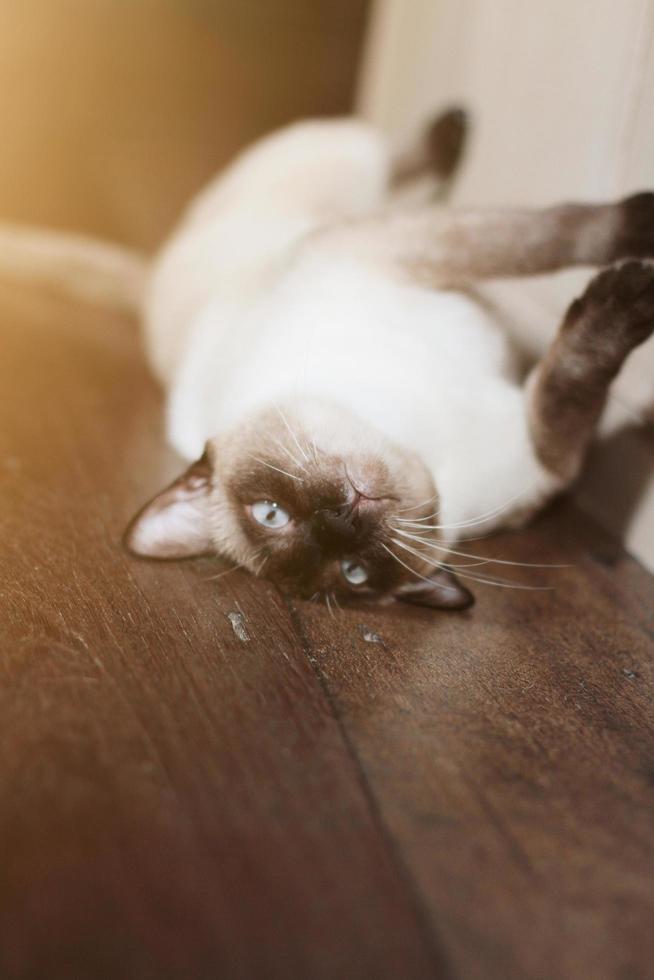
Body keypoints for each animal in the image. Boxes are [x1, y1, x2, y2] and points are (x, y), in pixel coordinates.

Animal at [5, 111, 654, 608]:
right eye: (353, 571)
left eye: (268, 512)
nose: (340, 520)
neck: (409, 433)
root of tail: (151, 283)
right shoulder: (549, 460)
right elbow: (577, 372)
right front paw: (633, 291)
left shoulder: (388, 248)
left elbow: (550, 236)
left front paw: (638, 228)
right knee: (389, 160)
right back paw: (453, 130)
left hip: (338, 189)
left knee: (383, 156)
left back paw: (453, 126)